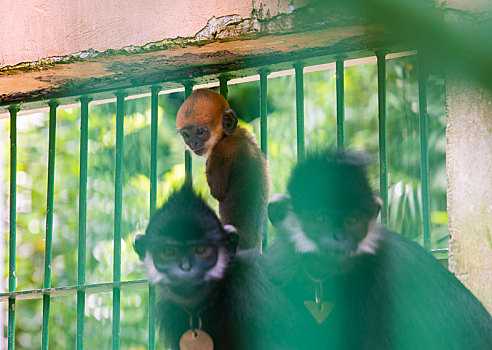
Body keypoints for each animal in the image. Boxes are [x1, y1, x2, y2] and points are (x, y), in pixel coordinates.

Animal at [177, 89, 270, 250]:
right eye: (187, 135)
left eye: (200, 132)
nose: (193, 143)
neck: (230, 135)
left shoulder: (221, 151)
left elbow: (217, 192)